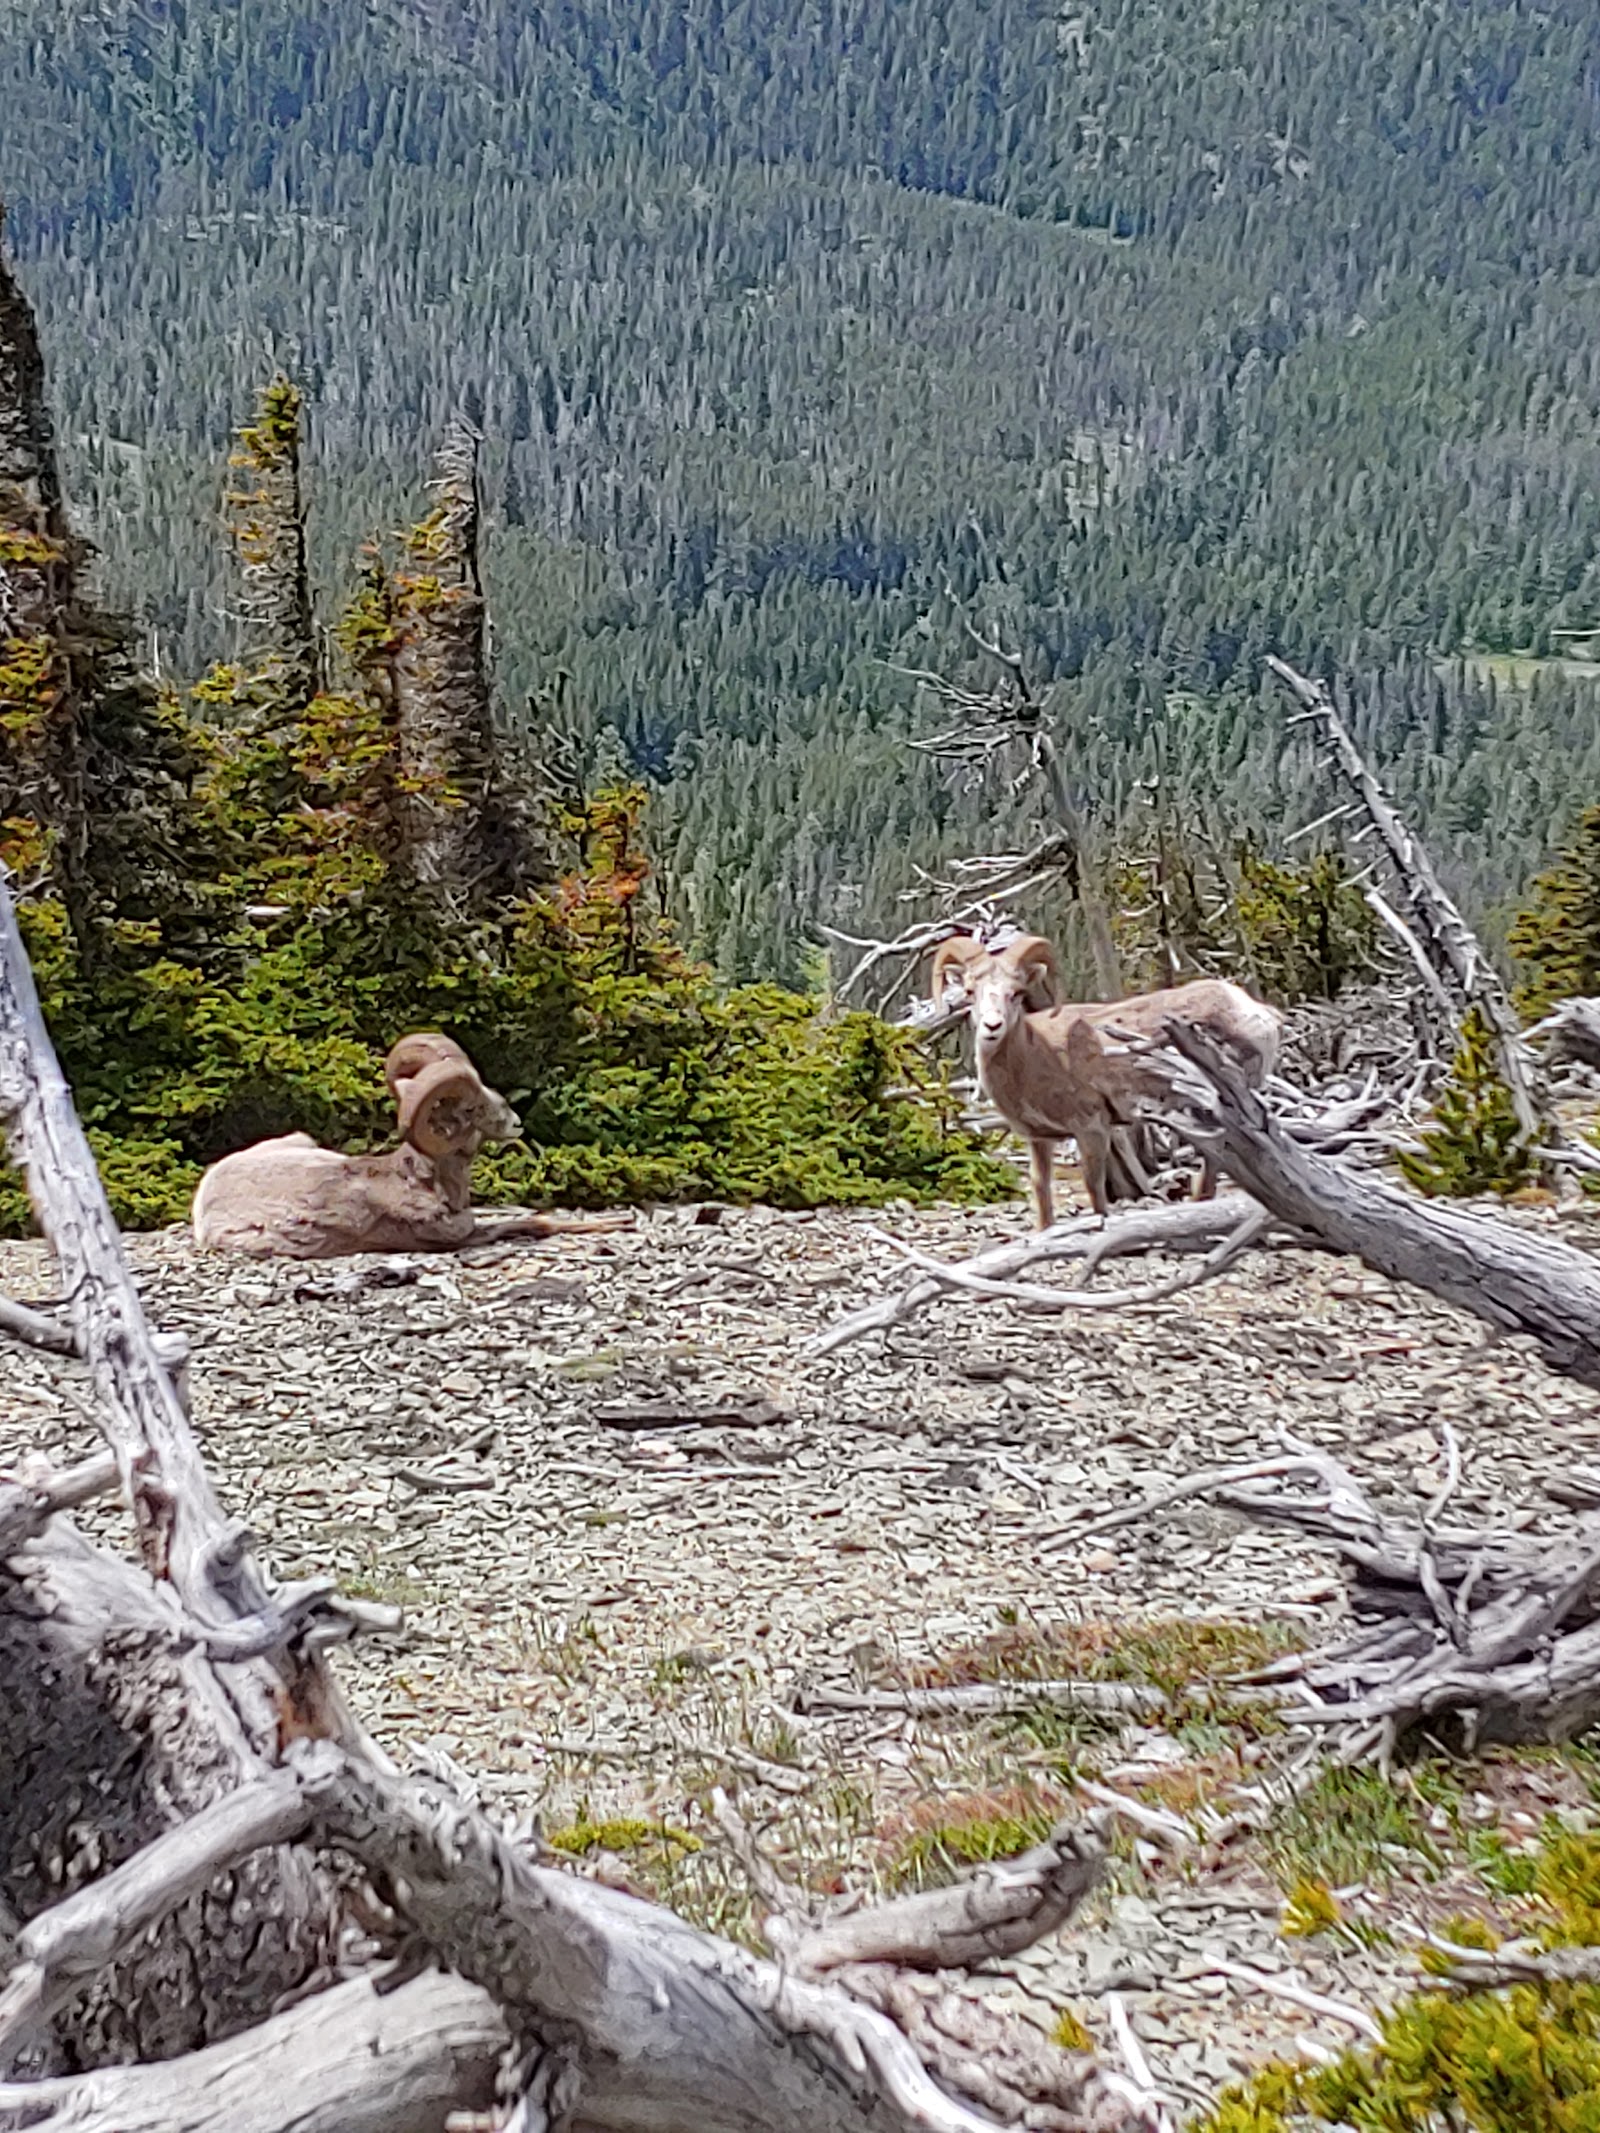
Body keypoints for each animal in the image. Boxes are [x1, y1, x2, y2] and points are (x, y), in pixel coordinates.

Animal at [929, 934, 1282, 1226]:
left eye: (1016, 993)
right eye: (971, 992)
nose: (992, 1026)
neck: (1034, 1058)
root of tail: (1256, 1012)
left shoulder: (1092, 1128)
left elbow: (1095, 1188)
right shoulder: (1039, 1139)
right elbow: (1041, 1188)